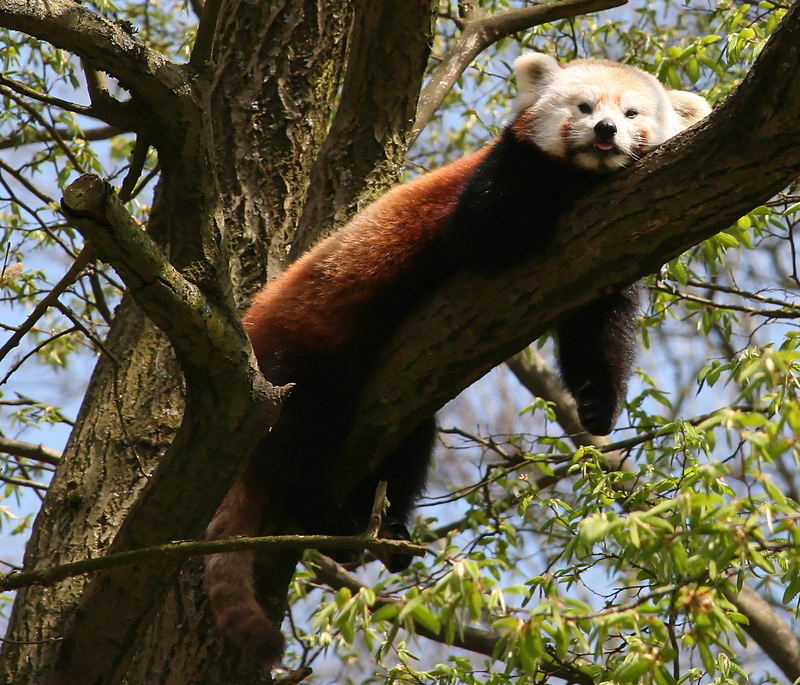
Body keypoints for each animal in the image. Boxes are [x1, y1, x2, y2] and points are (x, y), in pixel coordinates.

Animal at [203, 54, 708, 668]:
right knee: (301, 434)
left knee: (403, 449)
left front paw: (596, 406)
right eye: (585, 107)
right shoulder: (493, 183)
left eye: (632, 113)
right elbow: (488, 231)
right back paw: (320, 513)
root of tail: (252, 324)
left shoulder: (604, 254)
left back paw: (383, 531)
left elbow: (596, 331)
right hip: (299, 354)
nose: (606, 131)